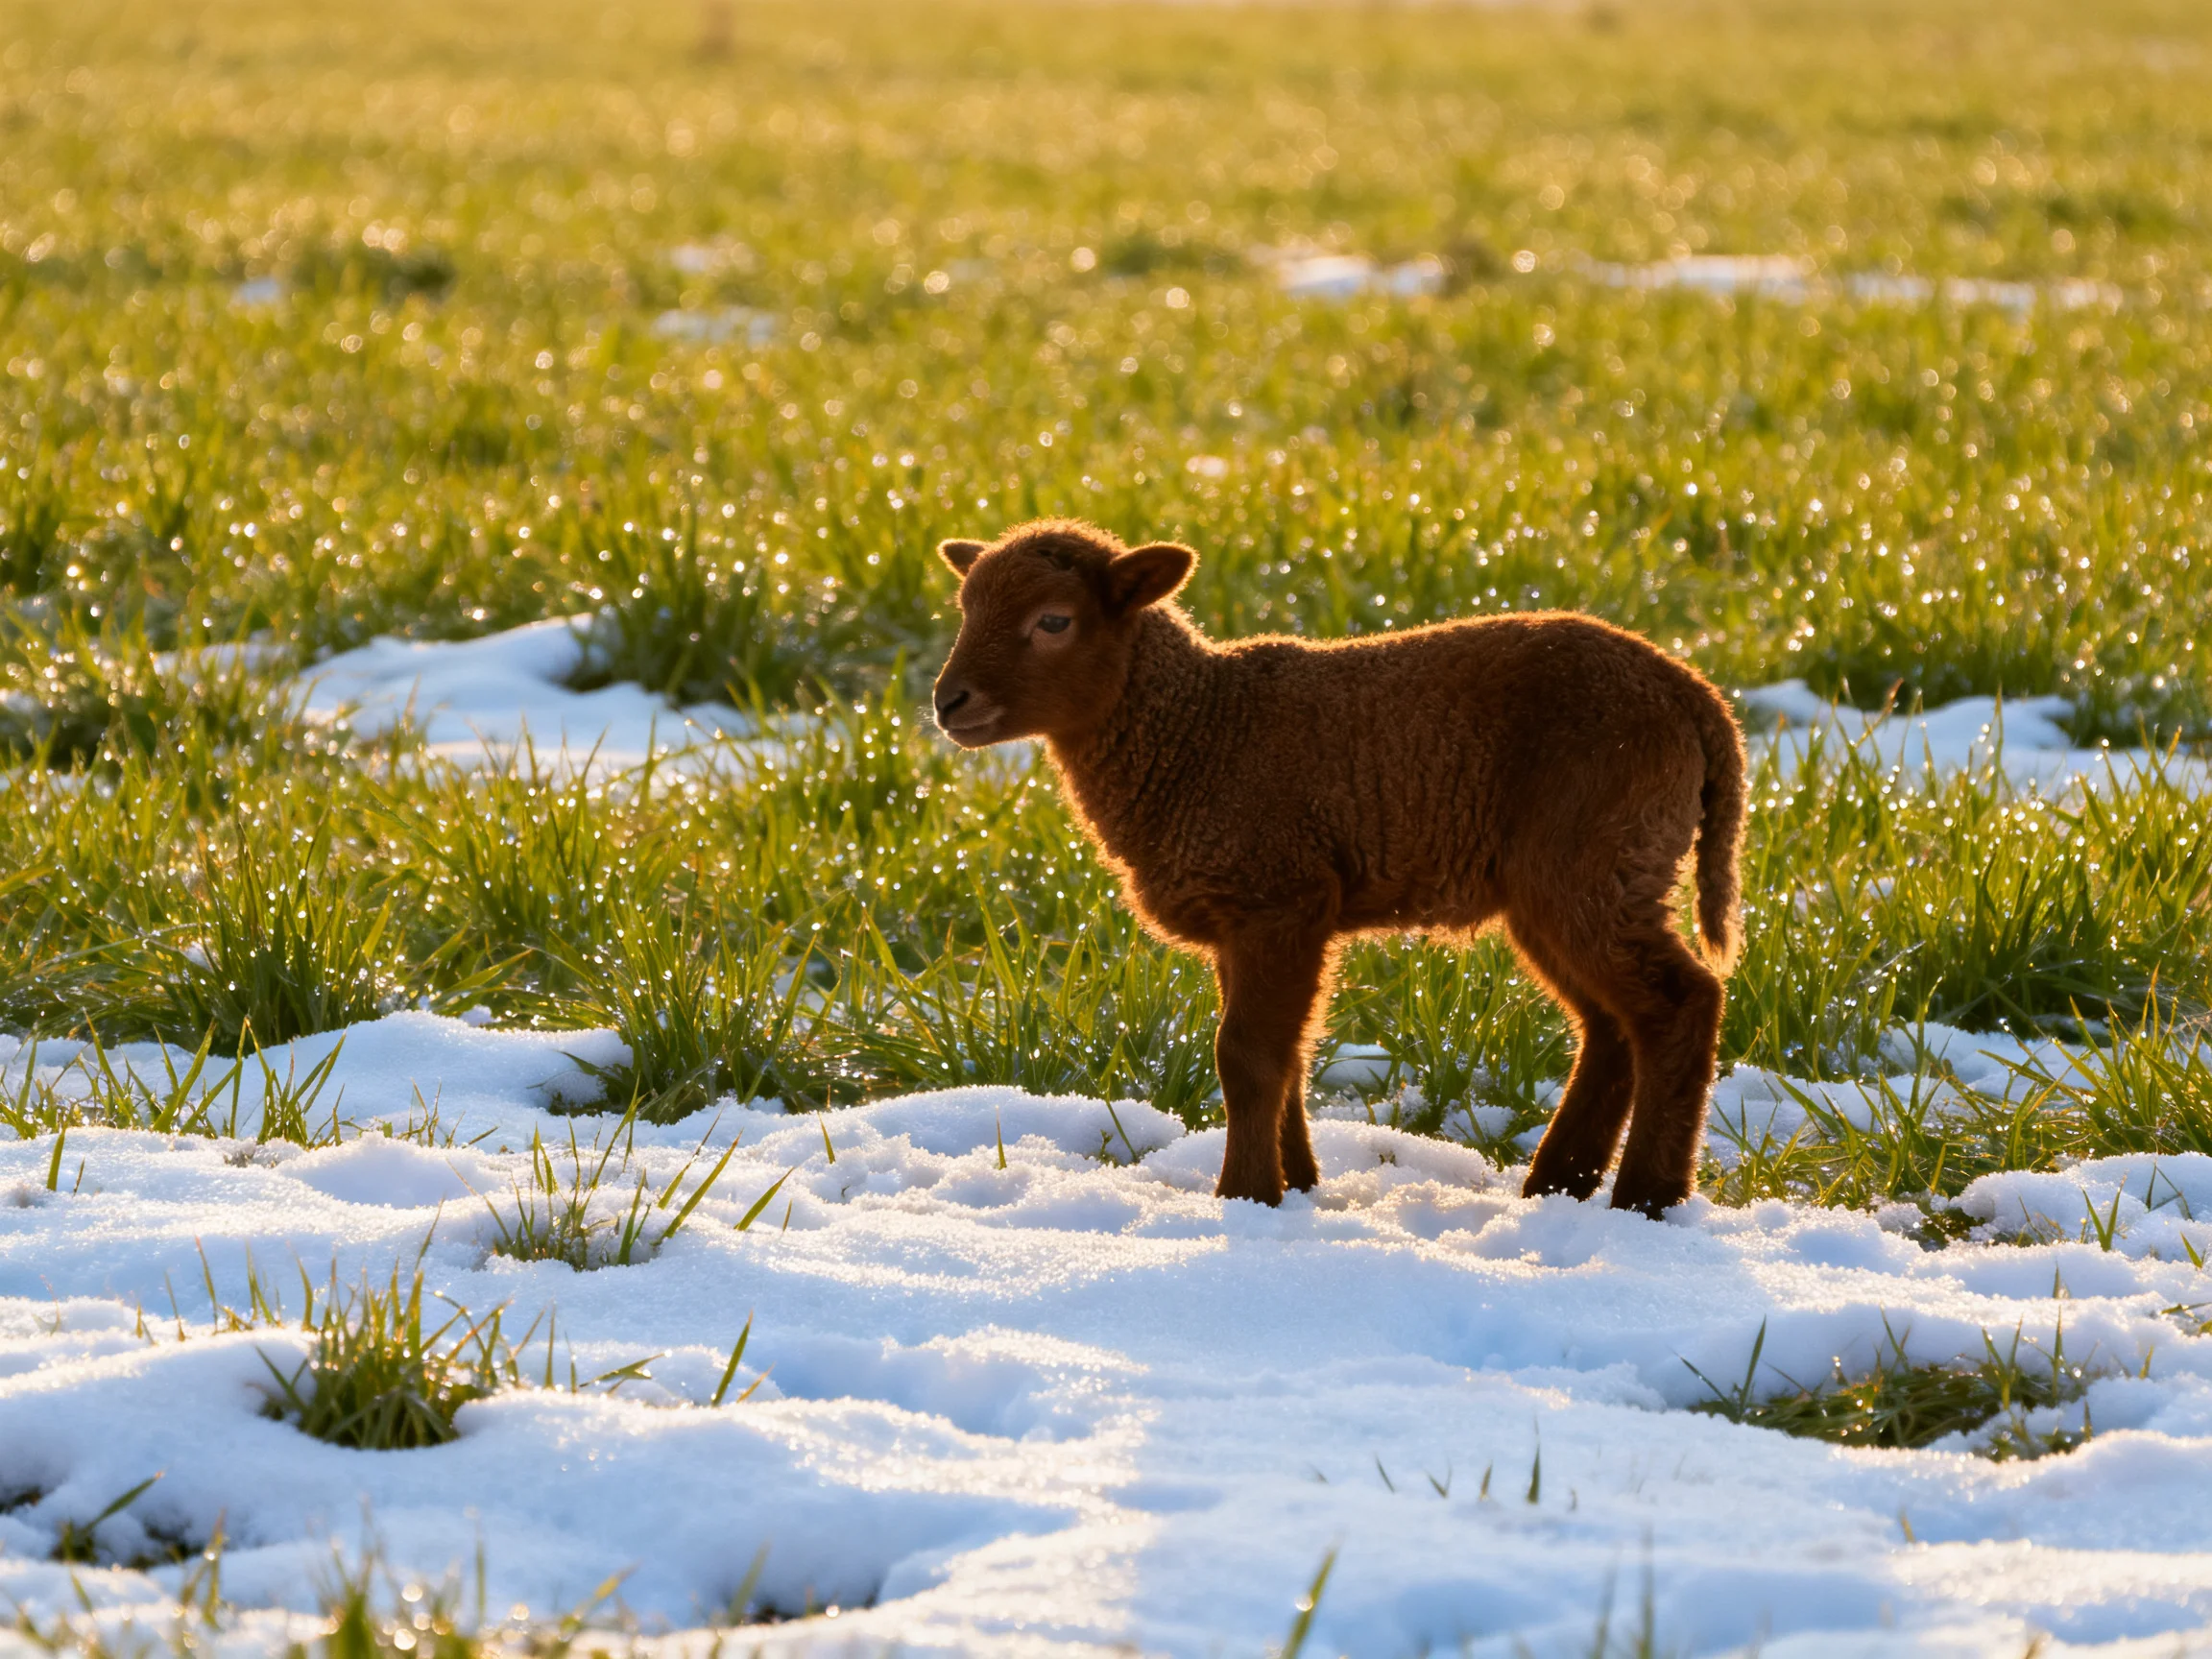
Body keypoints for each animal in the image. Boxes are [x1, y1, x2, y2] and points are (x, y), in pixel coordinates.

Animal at [930, 518, 1745, 1217]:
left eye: (1054, 621)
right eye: (965, 609)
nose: (947, 702)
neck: (1197, 733)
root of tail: (1697, 698)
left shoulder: (1280, 897)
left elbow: (1247, 1057)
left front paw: (1245, 1197)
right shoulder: (1246, 917)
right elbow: (1286, 1058)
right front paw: (1295, 1187)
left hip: (1595, 858)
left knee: (1680, 1003)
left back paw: (1647, 1199)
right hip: (1574, 881)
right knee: (1612, 1026)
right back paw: (1559, 1186)